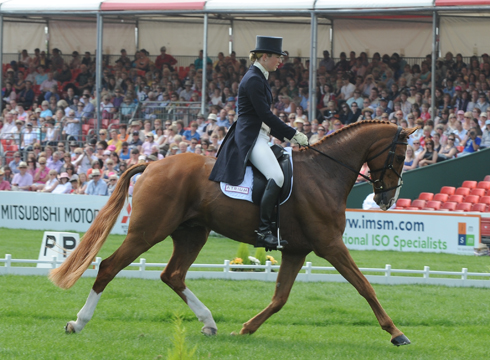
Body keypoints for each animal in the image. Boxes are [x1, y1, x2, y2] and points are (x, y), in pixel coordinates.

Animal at [50, 120, 414, 346]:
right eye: (397, 155)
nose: (386, 200)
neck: (324, 173)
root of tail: (152, 164)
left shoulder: (297, 250)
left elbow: (280, 297)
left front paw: (246, 329)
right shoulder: (330, 245)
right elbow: (365, 286)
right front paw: (396, 333)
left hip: (192, 234)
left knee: (173, 275)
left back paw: (209, 322)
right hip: (148, 231)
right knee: (109, 267)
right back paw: (78, 323)